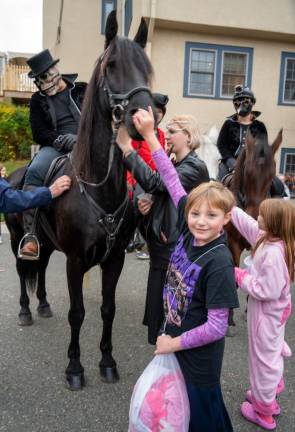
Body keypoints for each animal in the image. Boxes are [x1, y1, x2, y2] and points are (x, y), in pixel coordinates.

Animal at [4, 12, 156, 392]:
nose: (145, 116)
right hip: (17, 240)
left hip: (47, 243)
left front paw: (107, 362)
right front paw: (75, 368)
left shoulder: (113, 260)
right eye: (112, 65)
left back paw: (43, 304)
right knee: (23, 270)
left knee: (41, 268)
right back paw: (26, 310)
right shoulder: (75, 260)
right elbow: (78, 313)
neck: (98, 188)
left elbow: (107, 310)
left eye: (146, 66)